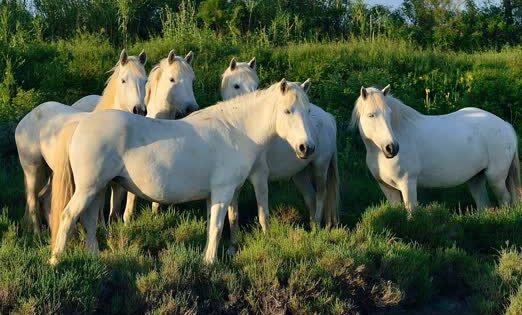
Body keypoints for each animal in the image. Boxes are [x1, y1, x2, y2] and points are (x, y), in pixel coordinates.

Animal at [16, 49, 146, 232]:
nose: (139, 110)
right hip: (32, 169)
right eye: (123, 80)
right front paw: (99, 227)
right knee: (33, 200)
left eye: (145, 80)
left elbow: (114, 203)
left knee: (45, 199)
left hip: (53, 171)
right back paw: (37, 233)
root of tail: (28, 116)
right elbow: (99, 205)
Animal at [50, 78, 314, 264]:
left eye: (308, 111)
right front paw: (209, 262)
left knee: (88, 220)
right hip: (88, 188)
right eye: (288, 111)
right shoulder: (222, 192)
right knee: (68, 216)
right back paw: (55, 261)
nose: (307, 147)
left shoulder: (223, 194)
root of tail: (81, 123)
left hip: (97, 188)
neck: (235, 130)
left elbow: (223, 222)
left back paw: (93, 257)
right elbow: (217, 227)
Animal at [217, 57, 340, 254]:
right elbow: (233, 214)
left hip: (320, 167)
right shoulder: (233, 182)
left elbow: (263, 215)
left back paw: (316, 230)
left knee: (321, 194)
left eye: (256, 85)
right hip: (300, 174)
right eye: (236, 85)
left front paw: (268, 243)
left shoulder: (260, 177)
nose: (307, 147)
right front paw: (232, 247)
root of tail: (328, 117)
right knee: (310, 198)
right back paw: (312, 227)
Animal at [352, 85, 516, 216]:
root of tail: (506, 126)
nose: (392, 148)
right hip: (476, 179)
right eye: (371, 115)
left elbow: (411, 212)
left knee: (506, 200)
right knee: (484, 205)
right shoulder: (387, 188)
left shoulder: (408, 184)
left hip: (496, 179)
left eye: (390, 114)